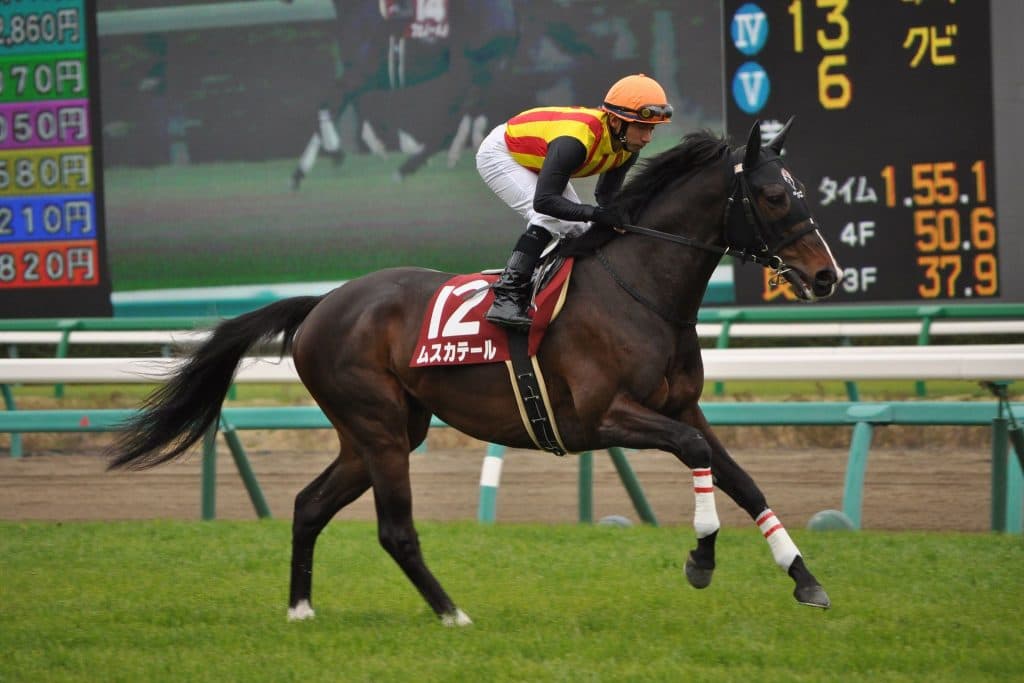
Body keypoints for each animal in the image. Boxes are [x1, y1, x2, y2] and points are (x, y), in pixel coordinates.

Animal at [108, 118, 842, 626]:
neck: (639, 289)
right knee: (395, 529)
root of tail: (321, 303)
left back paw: (301, 609)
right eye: (773, 195)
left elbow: (740, 476)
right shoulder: (608, 415)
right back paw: (452, 613)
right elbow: (697, 455)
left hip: (381, 431)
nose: (827, 276)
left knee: (309, 505)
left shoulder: (682, 406)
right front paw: (702, 558)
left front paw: (804, 577)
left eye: (799, 190)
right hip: (378, 427)